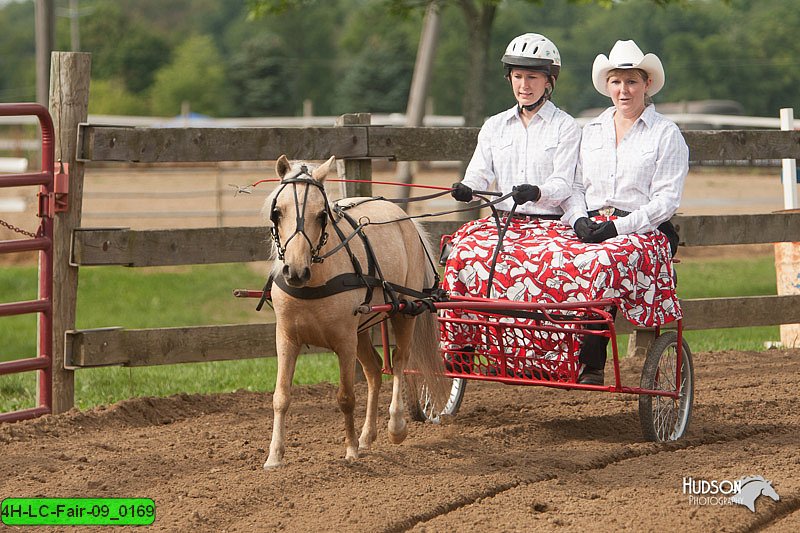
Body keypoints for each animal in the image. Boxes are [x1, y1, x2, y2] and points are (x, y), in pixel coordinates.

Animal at [264, 155, 444, 470]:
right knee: (374, 371)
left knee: (399, 362)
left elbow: (346, 397)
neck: (315, 280)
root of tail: (403, 216)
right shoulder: (286, 338)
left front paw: (350, 451)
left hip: (403, 313)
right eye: (277, 212)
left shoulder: (344, 341)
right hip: (362, 328)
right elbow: (281, 397)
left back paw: (395, 427)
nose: (295, 271)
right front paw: (274, 456)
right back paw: (367, 436)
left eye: (321, 214)